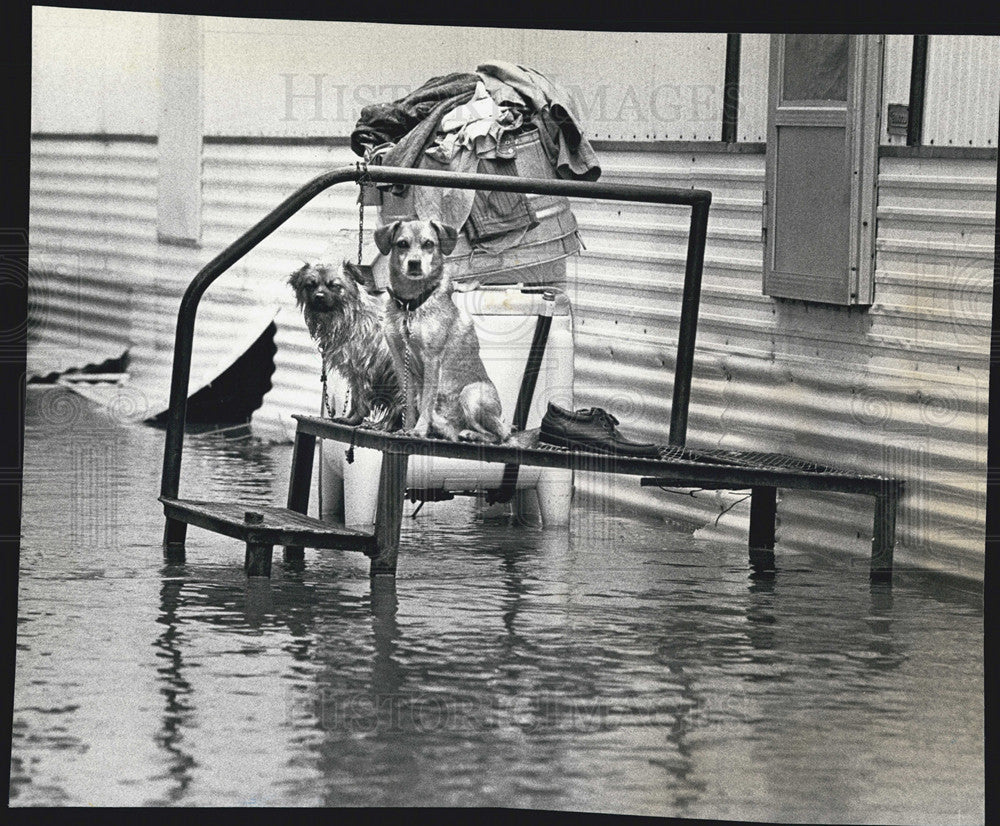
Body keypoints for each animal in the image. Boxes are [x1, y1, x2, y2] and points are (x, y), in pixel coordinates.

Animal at [286, 260, 402, 428]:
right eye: (310, 285)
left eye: (334, 285)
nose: (319, 296)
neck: (349, 318)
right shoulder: (354, 373)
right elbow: (354, 399)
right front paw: (350, 418)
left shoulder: (363, 369)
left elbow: (360, 400)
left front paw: (354, 420)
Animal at [374, 216, 508, 440]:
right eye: (402, 244)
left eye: (429, 244)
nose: (414, 263)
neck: (410, 305)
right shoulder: (400, 359)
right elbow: (408, 400)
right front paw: (407, 428)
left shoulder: (432, 358)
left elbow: (428, 401)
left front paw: (419, 430)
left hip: (471, 394)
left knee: (501, 435)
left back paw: (471, 435)